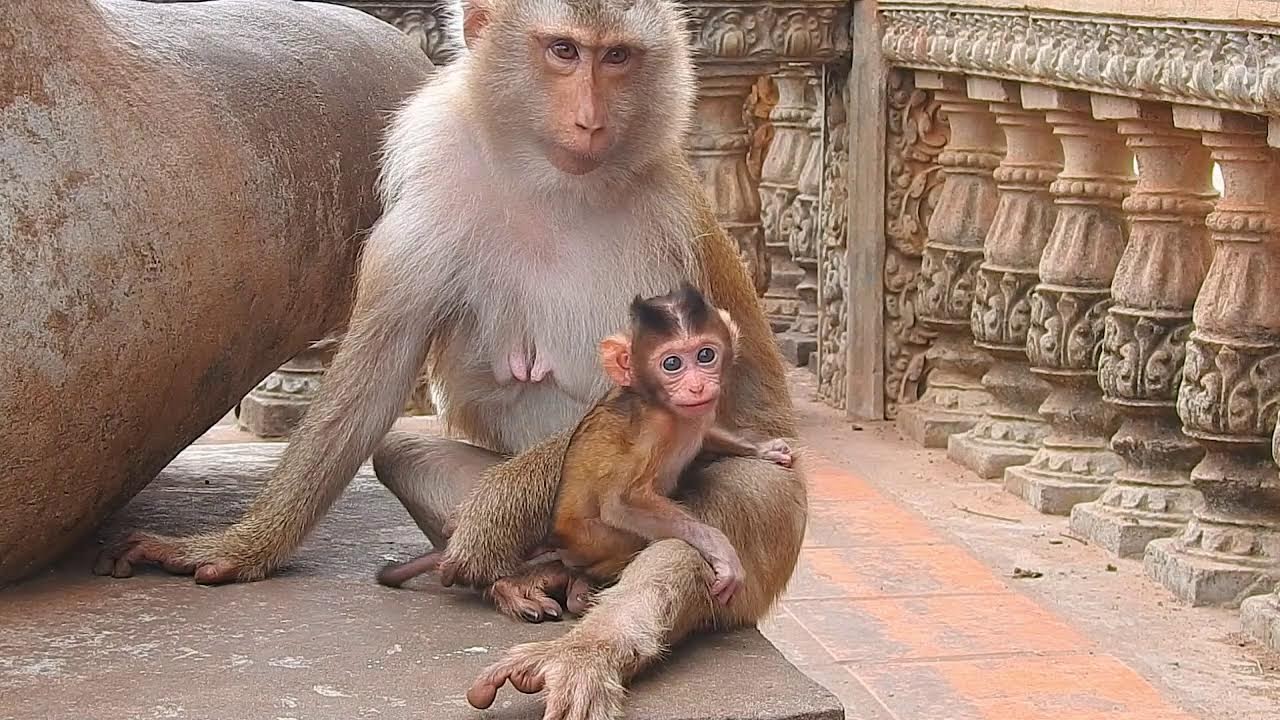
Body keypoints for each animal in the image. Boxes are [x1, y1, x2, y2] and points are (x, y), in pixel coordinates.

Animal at [374, 284, 792, 609]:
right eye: (671, 363)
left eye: (706, 355)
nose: (697, 386)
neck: (667, 410)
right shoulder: (649, 431)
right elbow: (622, 502)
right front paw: (720, 549)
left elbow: (709, 434)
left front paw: (764, 448)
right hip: (588, 540)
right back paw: (575, 586)